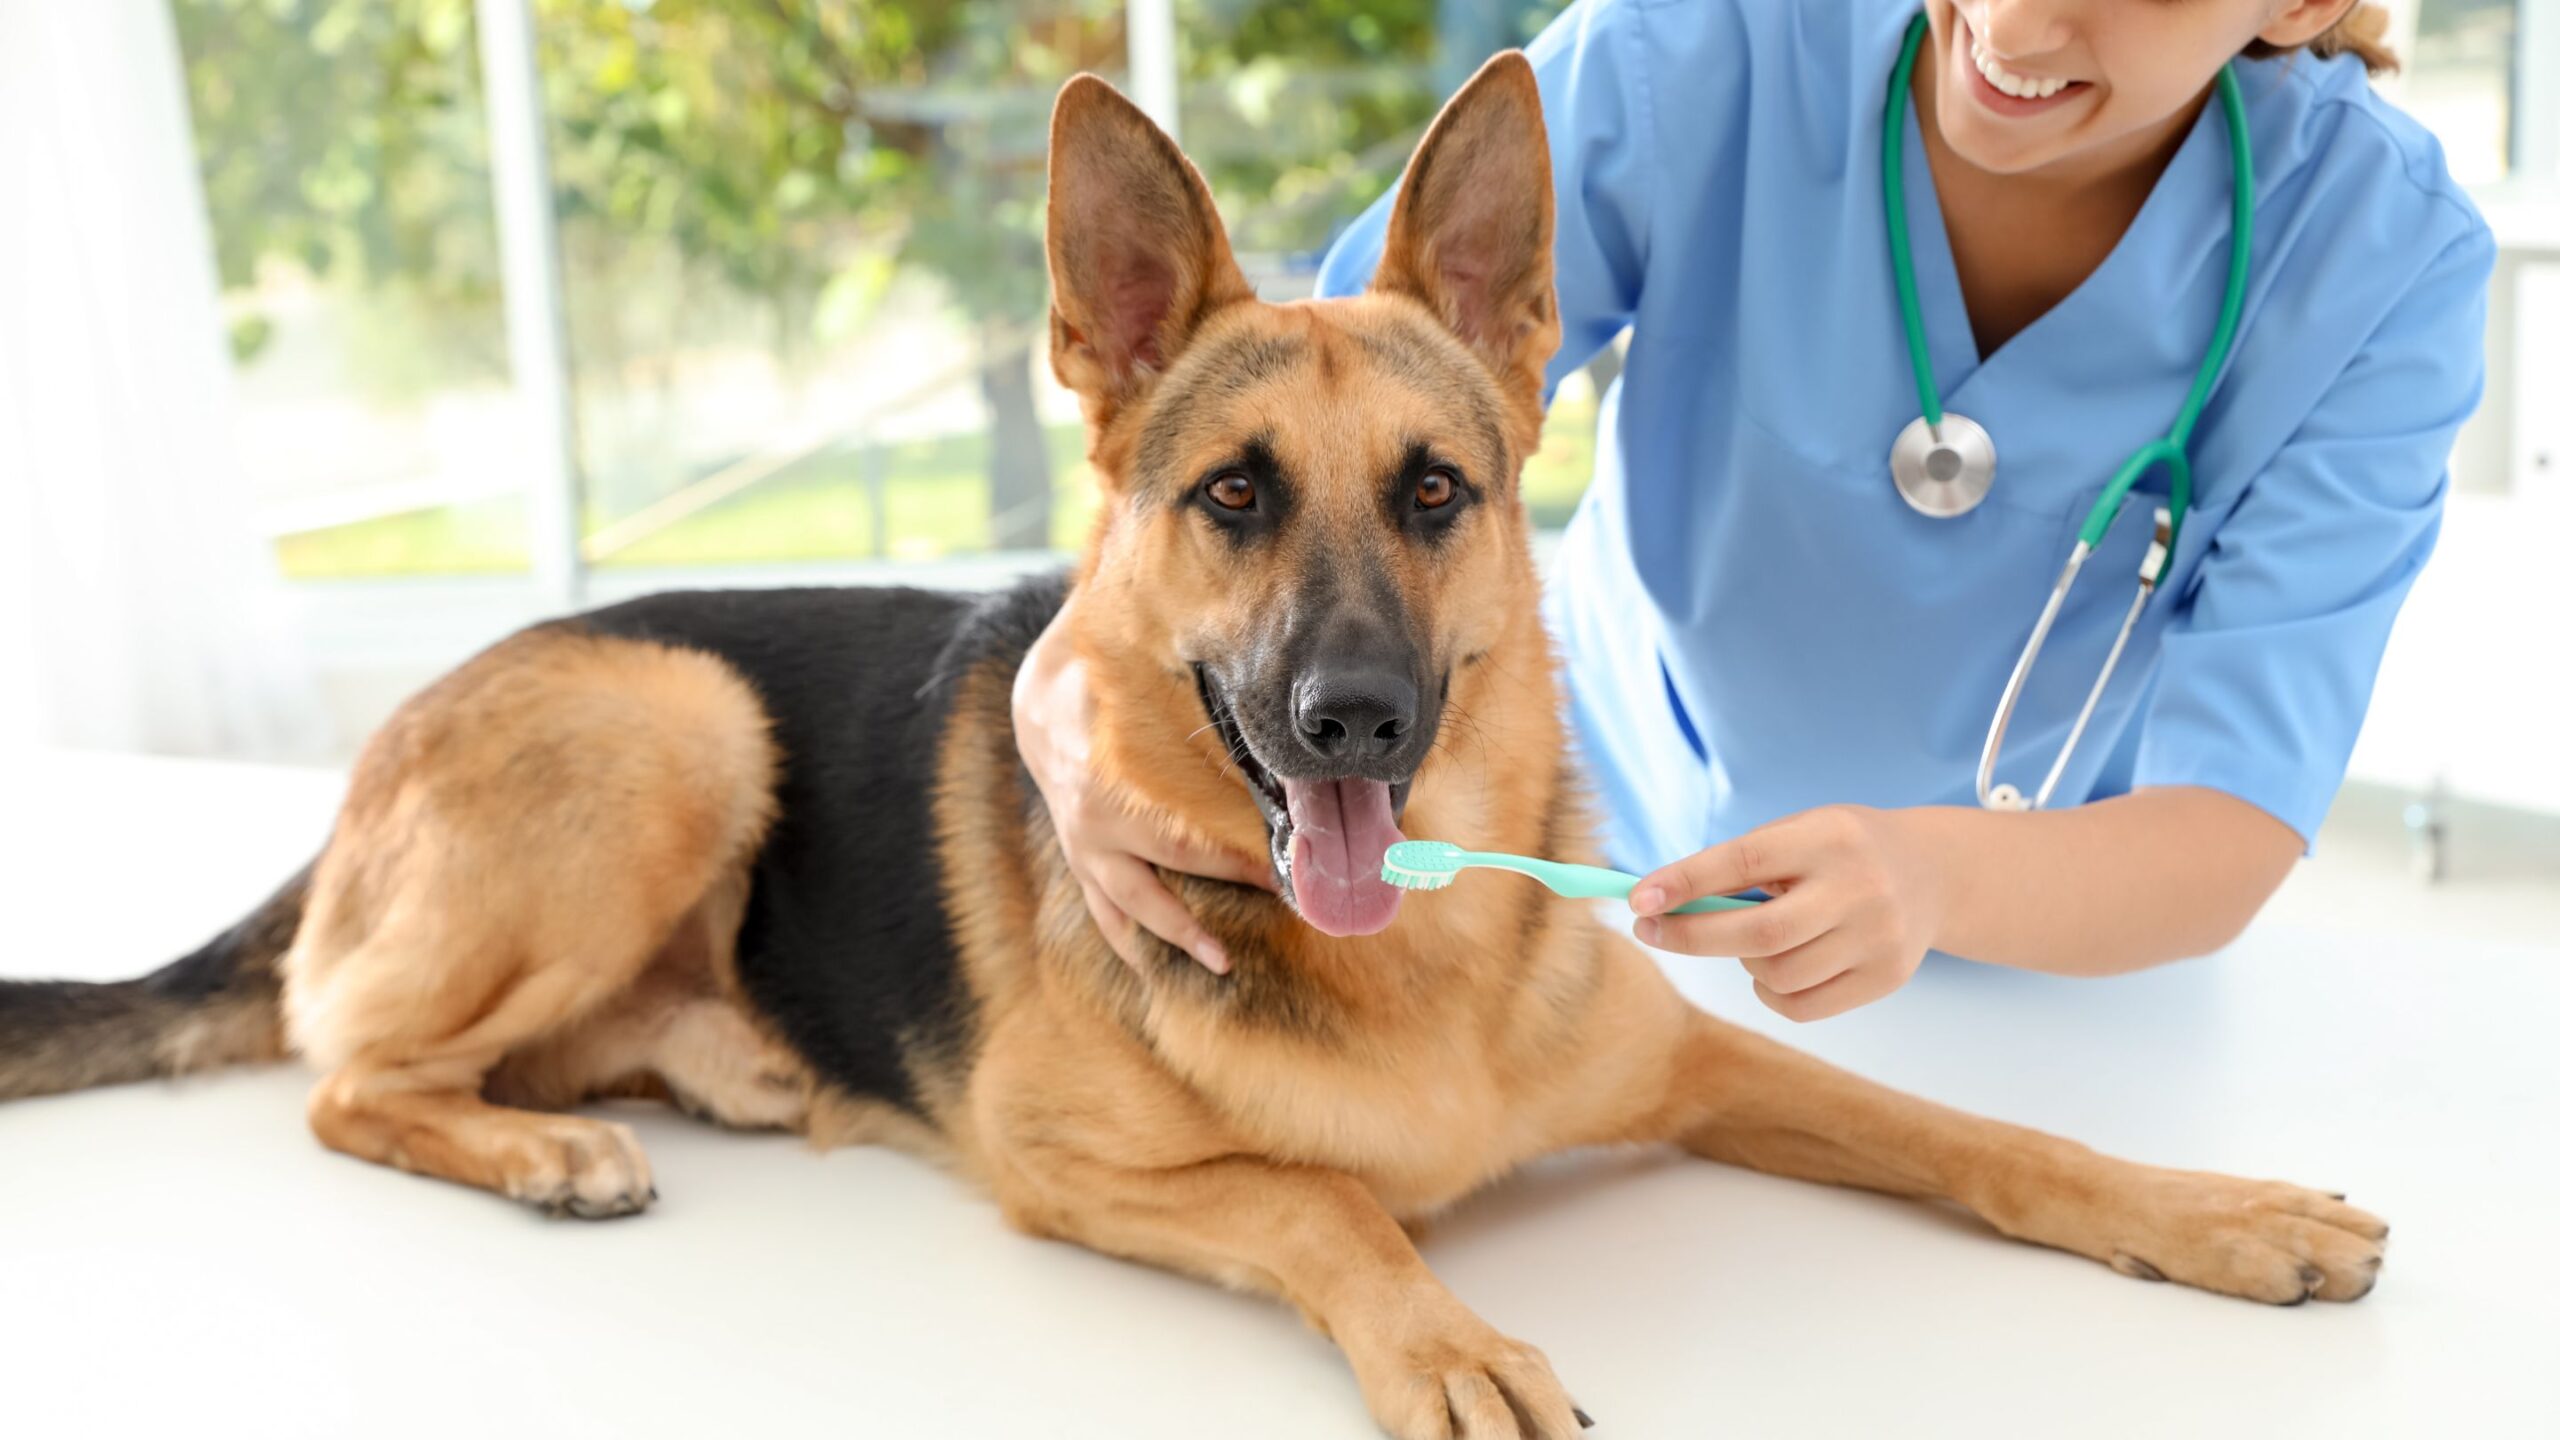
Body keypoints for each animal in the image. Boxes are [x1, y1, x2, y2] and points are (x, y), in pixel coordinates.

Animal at [10, 56, 2385, 1434]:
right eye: (1233, 495)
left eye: (1433, 492)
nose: (1353, 716)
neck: (1408, 965)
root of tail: (378, 763)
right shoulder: (1072, 1171)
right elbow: (1329, 1206)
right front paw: (1445, 1336)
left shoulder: (1710, 1064)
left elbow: (1985, 1134)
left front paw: (2216, 1211)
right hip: (672, 721)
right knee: (344, 1071)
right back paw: (538, 1148)